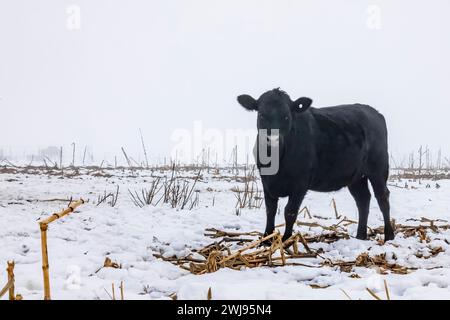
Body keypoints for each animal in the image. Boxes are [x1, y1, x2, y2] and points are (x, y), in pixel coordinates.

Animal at [237, 87, 396, 242]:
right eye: (261, 115)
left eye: (286, 116)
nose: (273, 139)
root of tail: (373, 111)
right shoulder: (266, 181)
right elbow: (270, 210)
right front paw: (266, 239)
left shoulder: (300, 183)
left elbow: (290, 212)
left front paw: (287, 240)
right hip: (356, 176)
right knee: (363, 200)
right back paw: (360, 236)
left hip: (378, 168)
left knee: (382, 197)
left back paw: (389, 235)